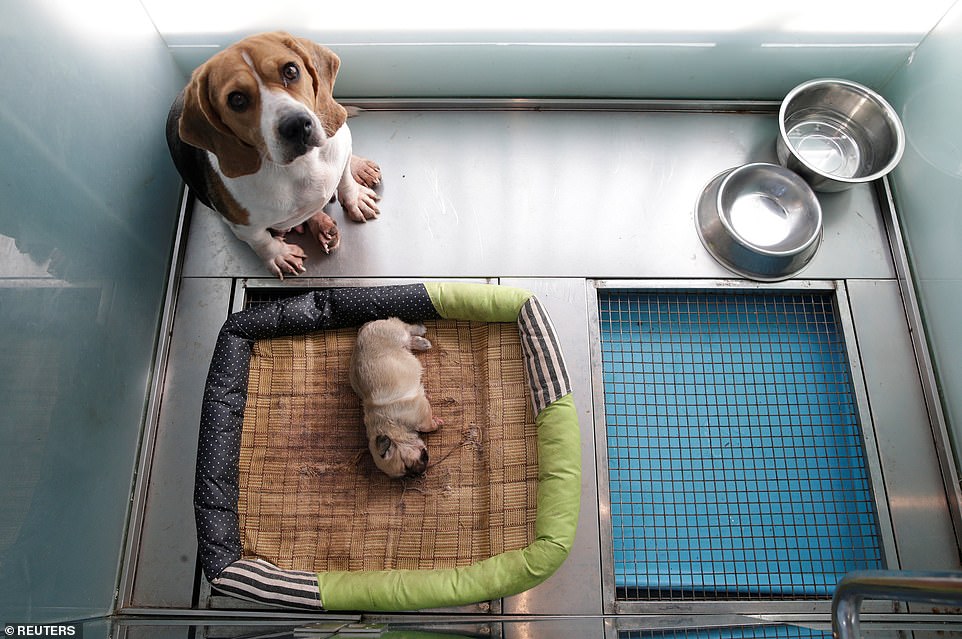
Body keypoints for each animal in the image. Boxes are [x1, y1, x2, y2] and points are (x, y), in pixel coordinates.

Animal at [165, 31, 378, 278]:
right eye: (236, 99)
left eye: (291, 71)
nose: (296, 126)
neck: (302, 165)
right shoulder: (243, 227)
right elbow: (261, 241)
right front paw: (279, 255)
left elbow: (345, 180)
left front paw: (355, 197)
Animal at [348, 318, 442, 478]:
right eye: (407, 472)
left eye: (406, 464)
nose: (420, 472)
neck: (392, 425)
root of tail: (365, 327)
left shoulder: (421, 413)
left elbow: (427, 426)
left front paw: (436, 423)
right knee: (408, 339)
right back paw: (421, 342)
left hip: (397, 334)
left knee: (406, 328)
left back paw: (420, 331)